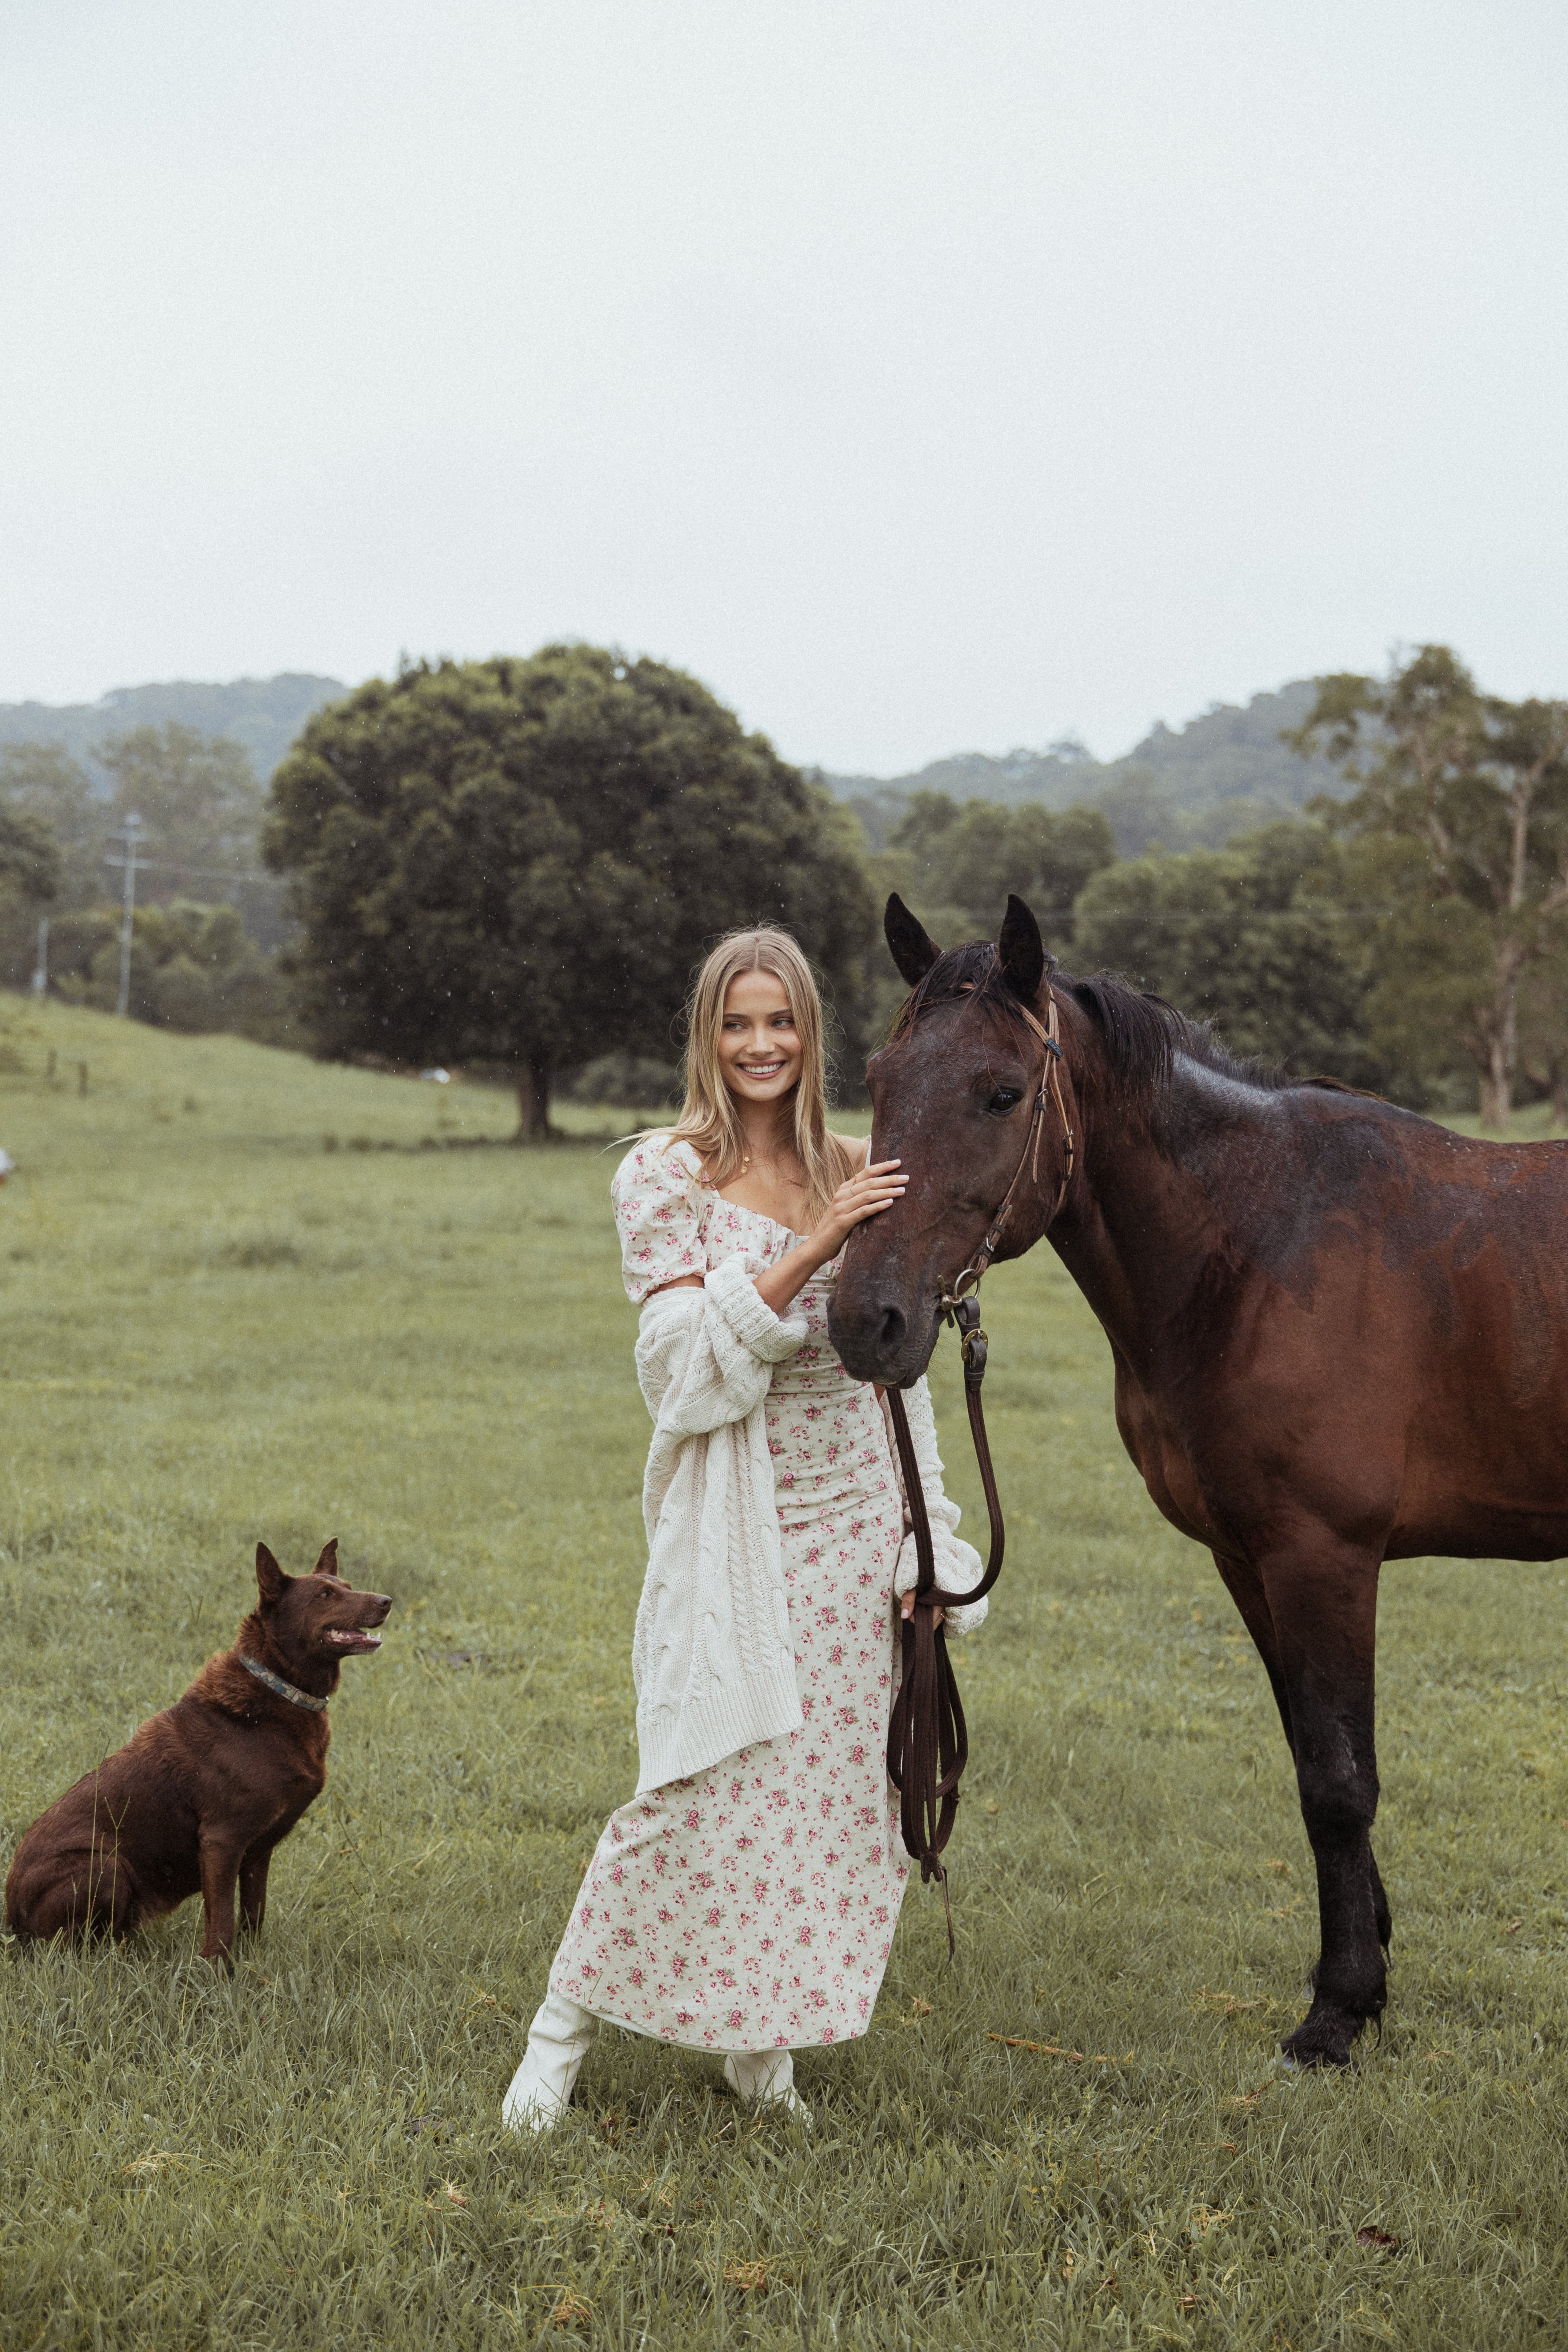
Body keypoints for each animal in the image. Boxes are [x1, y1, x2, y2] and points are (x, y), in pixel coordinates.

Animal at [6, 1543, 393, 1966]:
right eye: (325, 1595)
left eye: (348, 1587)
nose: (387, 1601)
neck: (278, 1689)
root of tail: (10, 1921)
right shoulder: (221, 1841)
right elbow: (221, 1921)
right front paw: (218, 1972)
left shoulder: (258, 1852)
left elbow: (253, 1914)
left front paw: (253, 1960)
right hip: (105, 1866)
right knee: (70, 1947)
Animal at [832, 889, 1568, 2070]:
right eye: (879, 1078)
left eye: (1000, 1092)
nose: (867, 1319)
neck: (1259, 1245)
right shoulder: (1246, 1557)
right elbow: (1312, 1753)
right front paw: (1365, 1967)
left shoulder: (1323, 1556)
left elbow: (1338, 1779)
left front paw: (1335, 2011)